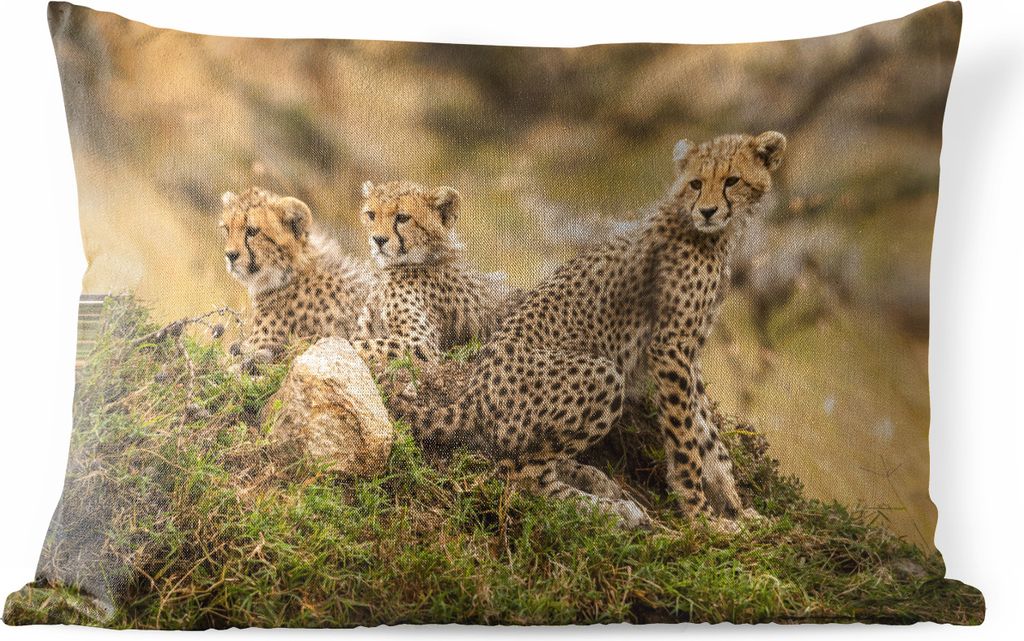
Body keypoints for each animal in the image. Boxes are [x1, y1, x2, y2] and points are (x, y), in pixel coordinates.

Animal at [391, 132, 787, 530]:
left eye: (732, 180)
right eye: (695, 183)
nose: (707, 211)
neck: (711, 234)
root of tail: (472, 393)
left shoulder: (689, 353)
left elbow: (707, 434)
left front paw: (736, 506)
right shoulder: (669, 347)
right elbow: (685, 437)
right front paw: (702, 517)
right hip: (602, 374)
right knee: (520, 475)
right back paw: (611, 510)